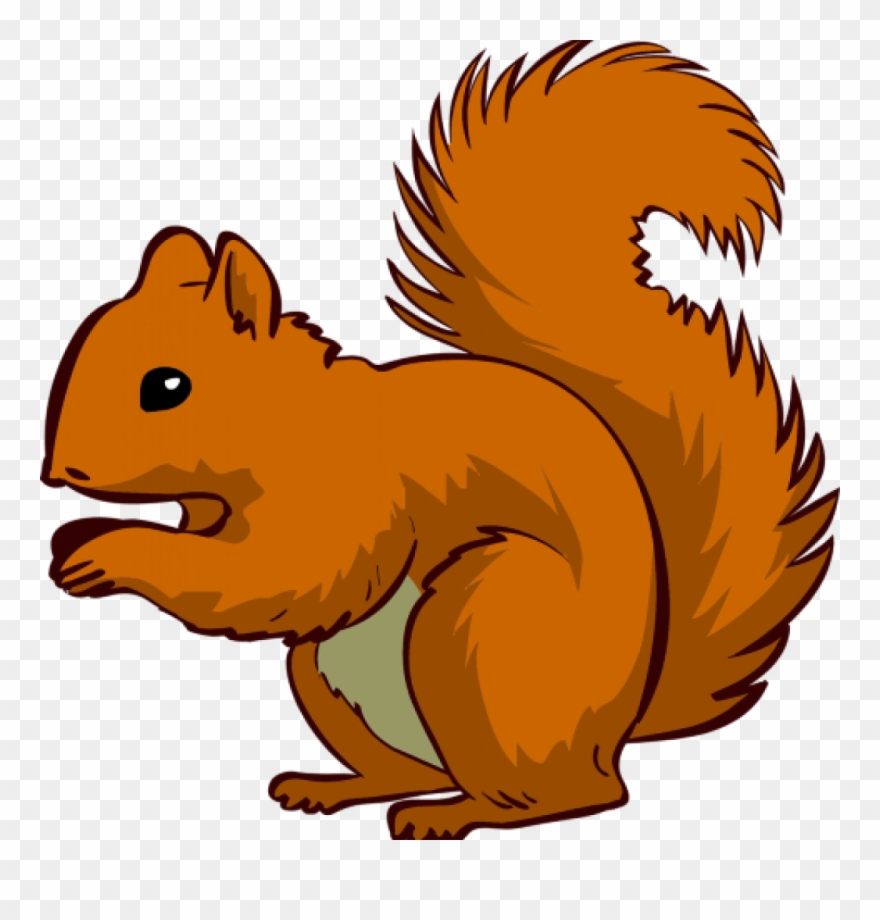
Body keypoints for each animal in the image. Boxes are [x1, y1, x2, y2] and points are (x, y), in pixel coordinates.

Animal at [41, 41, 837, 840]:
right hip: (326, 674)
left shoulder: (350, 497)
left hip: (480, 629)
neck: (293, 421)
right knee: (417, 771)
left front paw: (106, 549)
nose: (57, 471)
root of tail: (619, 725)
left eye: (167, 387)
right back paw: (340, 788)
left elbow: (274, 578)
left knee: (575, 795)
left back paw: (454, 815)